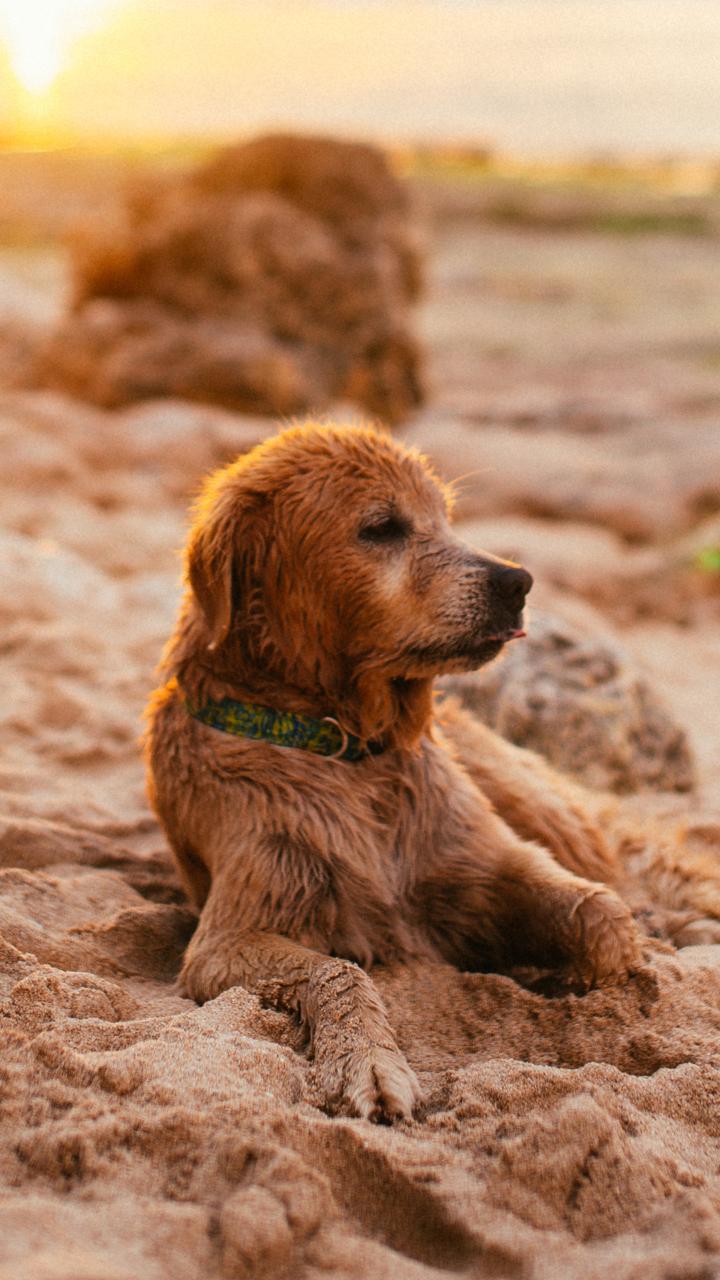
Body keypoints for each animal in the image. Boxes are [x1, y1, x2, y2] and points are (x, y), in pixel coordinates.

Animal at [142, 422, 635, 1121]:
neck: (346, 746)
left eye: (445, 518)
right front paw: (371, 1066)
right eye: (382, 527)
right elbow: (340, 969)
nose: (518, 581)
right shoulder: (230, 933)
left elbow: (601, 914)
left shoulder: (480, 857)